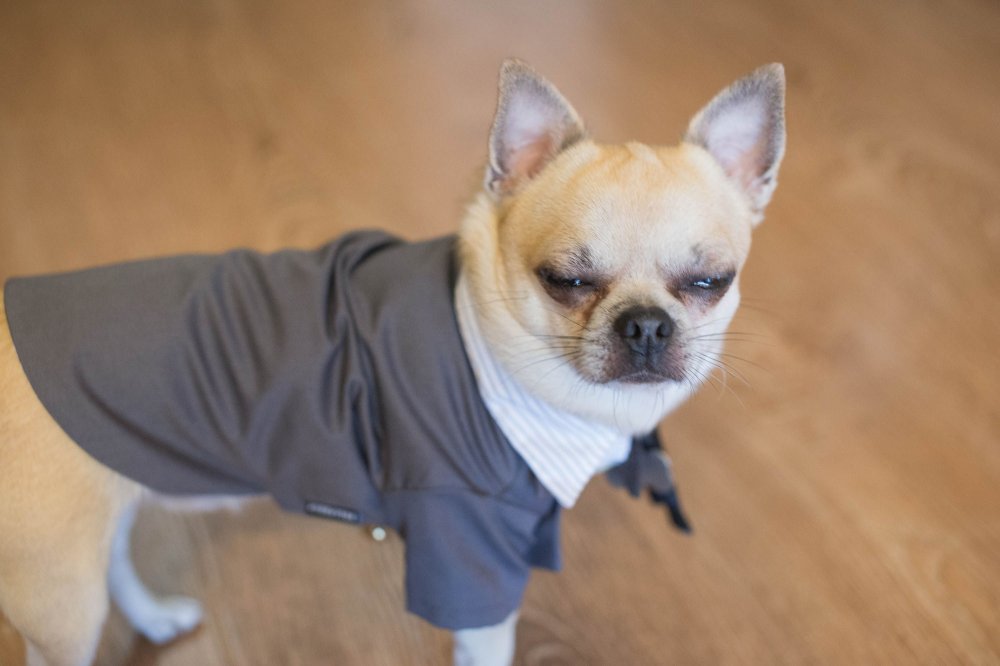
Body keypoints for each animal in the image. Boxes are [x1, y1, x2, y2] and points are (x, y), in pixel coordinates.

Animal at [0, 60, 785, 666]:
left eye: (710, 282)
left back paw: (155, 618)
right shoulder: (470, 571)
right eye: (565, 280)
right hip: (60, 593)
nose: (646, 325)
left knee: (116, 560)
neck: (486, 343)